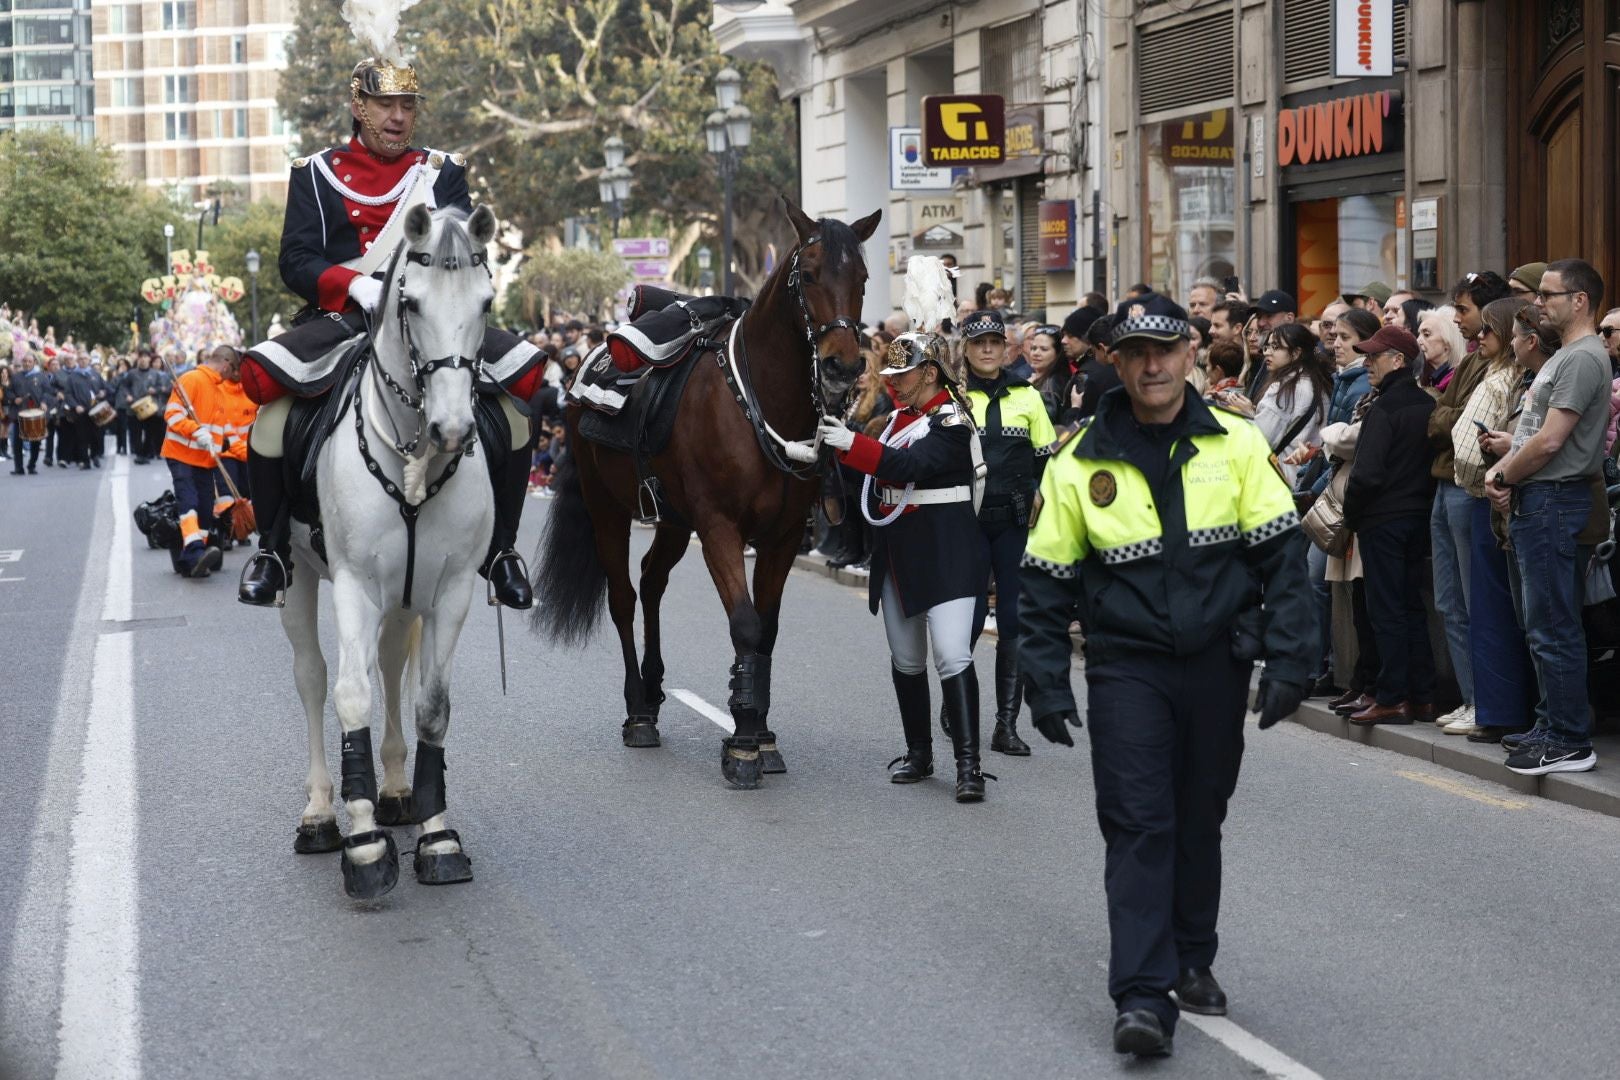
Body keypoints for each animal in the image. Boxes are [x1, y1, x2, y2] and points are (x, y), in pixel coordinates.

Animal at [280, 204, 492, 906]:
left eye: (487, 302)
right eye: (412, 303)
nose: (453, 430)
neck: (412, 456)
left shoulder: (451, 588)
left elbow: (431, 704)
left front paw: (436, 832)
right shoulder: (353, 583)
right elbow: (350, 696)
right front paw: (365, 842)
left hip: (404, 594)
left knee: (392, 660)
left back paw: (396, 790)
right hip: (297, 576)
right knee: (314, 676)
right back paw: (322, 813)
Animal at [531, 200, 881, 786]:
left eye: (862, 277)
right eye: (809, 275)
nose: (844, 366)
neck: (760, 400)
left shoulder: (783, 536)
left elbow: (767, 629)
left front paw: (760, 732)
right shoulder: (720, 528)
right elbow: (745, 624)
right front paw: (742, 742)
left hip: (673, 519)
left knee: (652, 581)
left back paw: (653, 691)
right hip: (609, 510)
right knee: (624, 597)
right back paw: (637, 710)